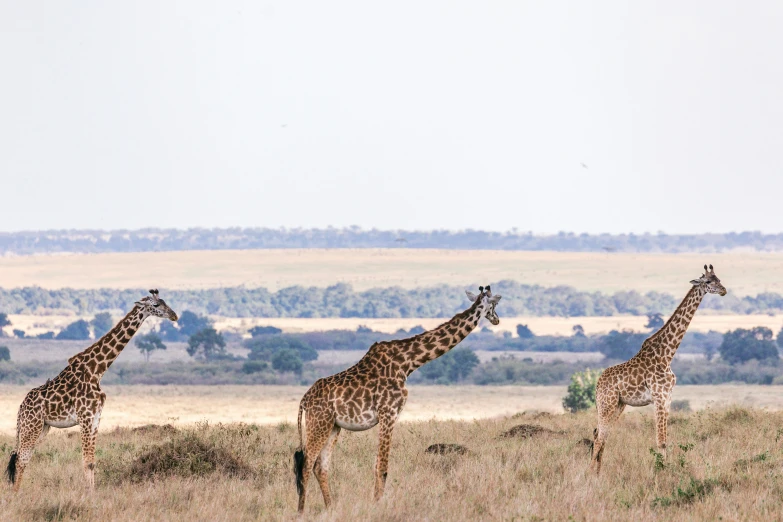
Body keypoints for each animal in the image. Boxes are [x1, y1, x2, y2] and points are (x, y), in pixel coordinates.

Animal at [4, 288, 177, 488]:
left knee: (23, 458)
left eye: (165, 302)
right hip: (30, 426)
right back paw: (15, 494)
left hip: (42, 428)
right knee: (20, 459)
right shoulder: (85, 417)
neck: (97, 370)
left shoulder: (95, 418)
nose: (174, 315)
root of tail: (21, 409)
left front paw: (92, 493)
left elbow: (92, 462)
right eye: (156, 305)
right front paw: (86, 494)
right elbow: (86, 461)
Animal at [292, 282, 502, 510]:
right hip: (319, 423)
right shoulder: (389, 412)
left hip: (332, 427)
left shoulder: (387, 415)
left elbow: (378, 465)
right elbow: (382, 467)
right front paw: (378, 506)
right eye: (493, 305)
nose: (497, 319)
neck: (408, 362)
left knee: (320, 467)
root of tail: (304, 401)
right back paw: (301, 512)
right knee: (305, 466)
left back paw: (331, 508)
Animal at [596, 264, 728, 472]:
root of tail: (597, 384)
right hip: (606, 403)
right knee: (599, 438)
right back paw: (592, 473)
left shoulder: (668, 398)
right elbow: (660, 440)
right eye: (708, 281)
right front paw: (660, 472)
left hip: (618, 404)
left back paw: (598, 471)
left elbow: (665, 440)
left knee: (601, 435)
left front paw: (665, 469)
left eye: (719, 279)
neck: (667, 354)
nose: (724, 290)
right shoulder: (659, 397)